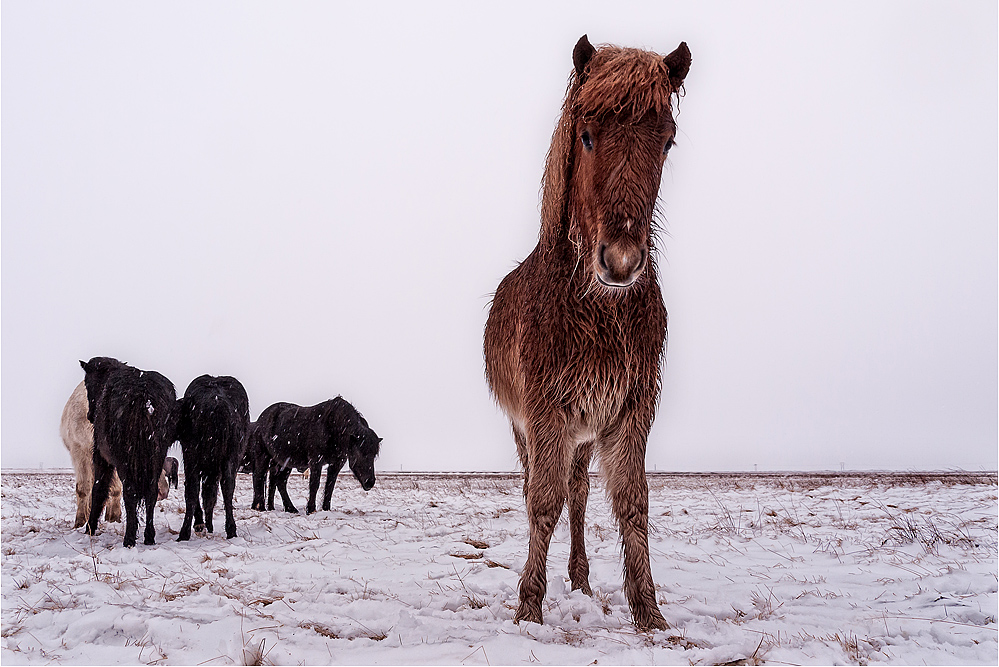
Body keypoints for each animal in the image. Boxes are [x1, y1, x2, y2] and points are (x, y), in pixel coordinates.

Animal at [81, 358, 178, 544]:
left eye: (87, 384)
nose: (90, 415)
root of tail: (143, 395)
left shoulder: (101, 458)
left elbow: (99, 490)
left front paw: (90, 528)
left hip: (125, 461)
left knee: (130, 492)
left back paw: (129, 538)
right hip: (156, 458)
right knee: (151, 492)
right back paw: (149, 536)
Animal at [175, 376, 249, 544]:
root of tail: (216, 403)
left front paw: (201, 524)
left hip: (192, 456)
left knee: (193, 488)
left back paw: (186, 532)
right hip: (229, 457)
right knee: (227, 487)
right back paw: (231, 530)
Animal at [252, 400, 380, 516]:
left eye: (374, 455)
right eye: (360, 453)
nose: (370, 482)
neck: (333, 427)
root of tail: (262, 418)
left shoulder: (336, 464)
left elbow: (330, 486)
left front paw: (326, 509)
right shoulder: (316, 461)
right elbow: (314, 484)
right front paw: (311, 509)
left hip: (284, 462)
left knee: (278, 481)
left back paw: (283, 508)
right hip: (264, 456)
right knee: (260, 477)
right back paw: (261, 507)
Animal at [482, 35, 688, 632]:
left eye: (667, 141)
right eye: (587, 134)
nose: (620, 262)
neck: (600, 312)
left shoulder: (631, 409)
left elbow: (632, 503)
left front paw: (649, 612)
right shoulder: (545, 412)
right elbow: (542, 501)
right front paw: (529, 605)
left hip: (582, 436)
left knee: (577, 494)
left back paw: (579, 578)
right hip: (529, 430)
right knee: (541, 489)